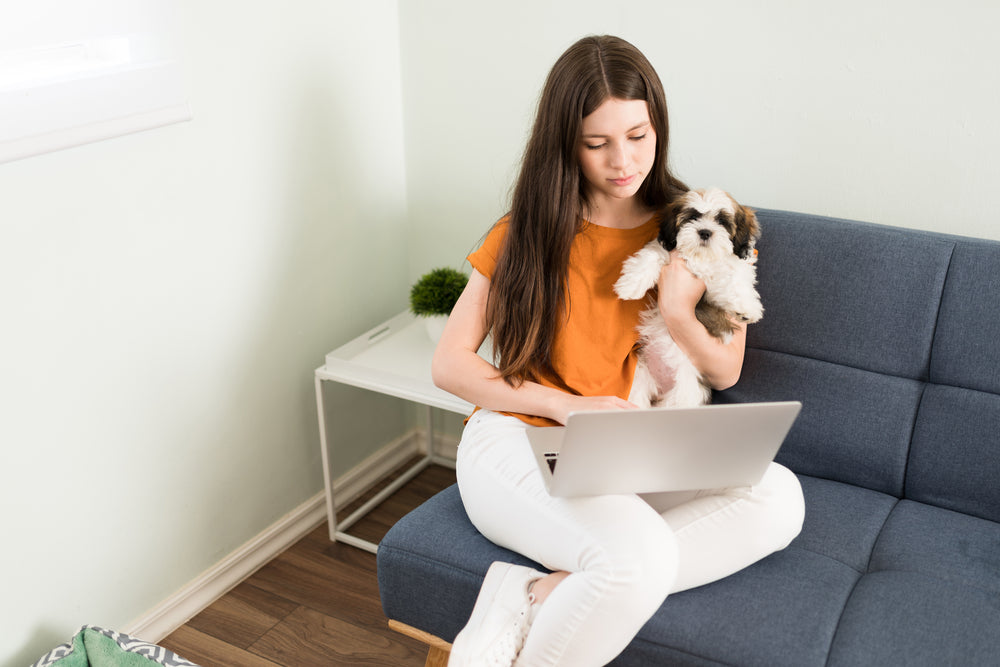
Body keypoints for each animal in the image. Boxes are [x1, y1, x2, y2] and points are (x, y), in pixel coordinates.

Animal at [612, 187, 760, 408]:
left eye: (722, 221)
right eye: (693, 217)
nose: (705, 232)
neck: (700, 258)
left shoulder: (723, 276)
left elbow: (736, 277)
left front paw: (745, 307)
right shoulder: (667, 250)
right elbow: (651, 256)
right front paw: (630, 285)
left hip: (687, 393)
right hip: (639, 378)